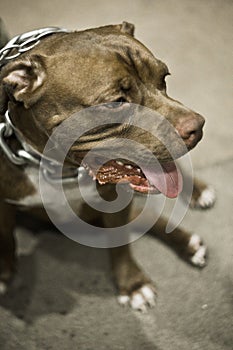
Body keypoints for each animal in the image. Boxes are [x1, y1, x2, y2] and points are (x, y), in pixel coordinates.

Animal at [0, 21, 215, 310]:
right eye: (115, 102)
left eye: (164, 77)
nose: (197, 127)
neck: (59, 168)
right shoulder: (3, 206)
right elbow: (5, 238)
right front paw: (3, 274)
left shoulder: (115, 199)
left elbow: (120, 243)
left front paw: (133, 284)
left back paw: (192, 223)